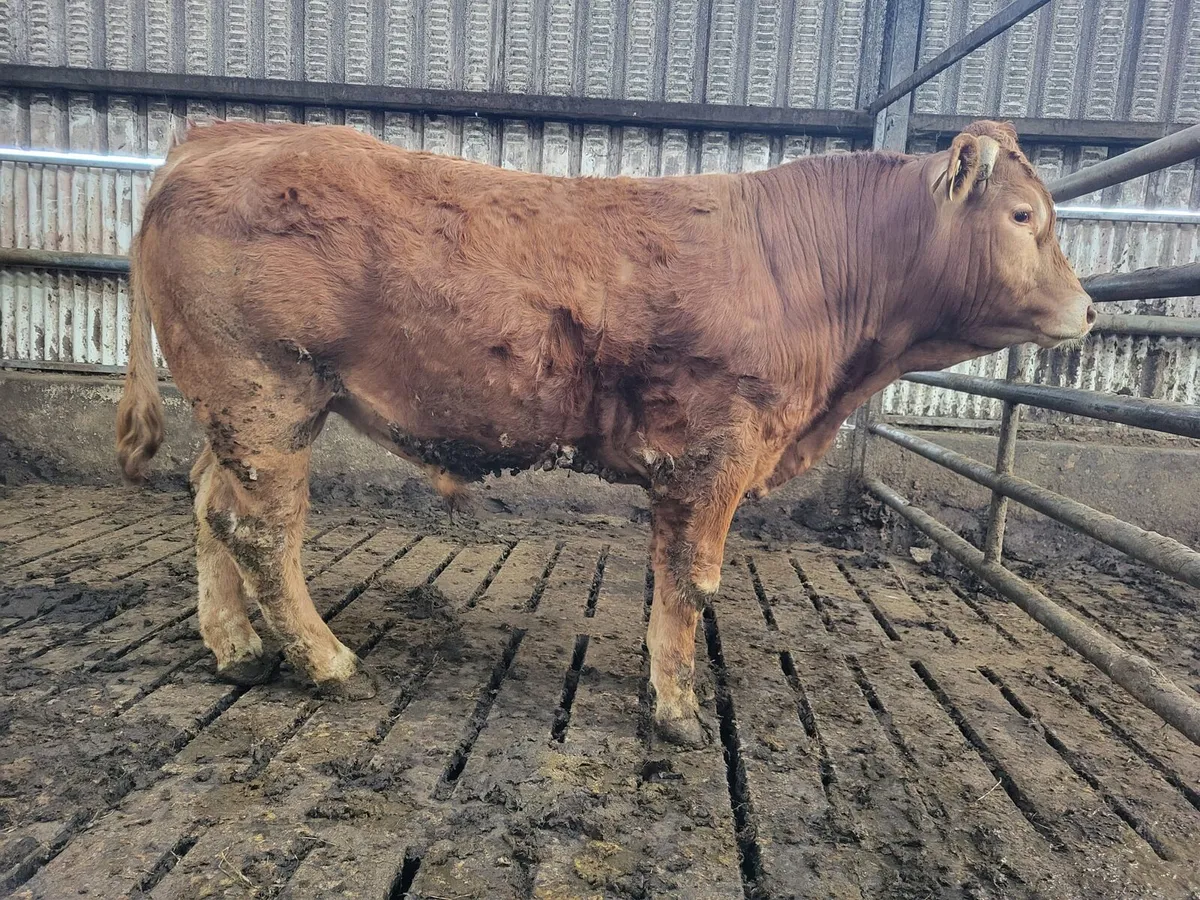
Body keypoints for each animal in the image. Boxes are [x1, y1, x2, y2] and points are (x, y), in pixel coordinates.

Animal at [116, 119, 1093, 747]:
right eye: (1023, 218)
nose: (1089, 310)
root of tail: (216, 136)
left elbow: (667, 576)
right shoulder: (717, 452)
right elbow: (694, 580)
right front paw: (679, 712)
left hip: (243, 410)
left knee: (210, 507)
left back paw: (239, 650)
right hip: (267, 394)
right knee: (261, 530)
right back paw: (323, 661)